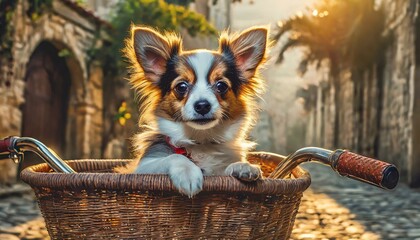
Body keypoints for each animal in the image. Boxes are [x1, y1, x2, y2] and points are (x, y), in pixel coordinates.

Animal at [115, 24, 270, 197]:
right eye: (181, 87)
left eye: (221, 86)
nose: (202, 105)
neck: (201, 140)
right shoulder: (141, 168)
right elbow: (174, 157)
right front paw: (188, 172)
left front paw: (243, 166)